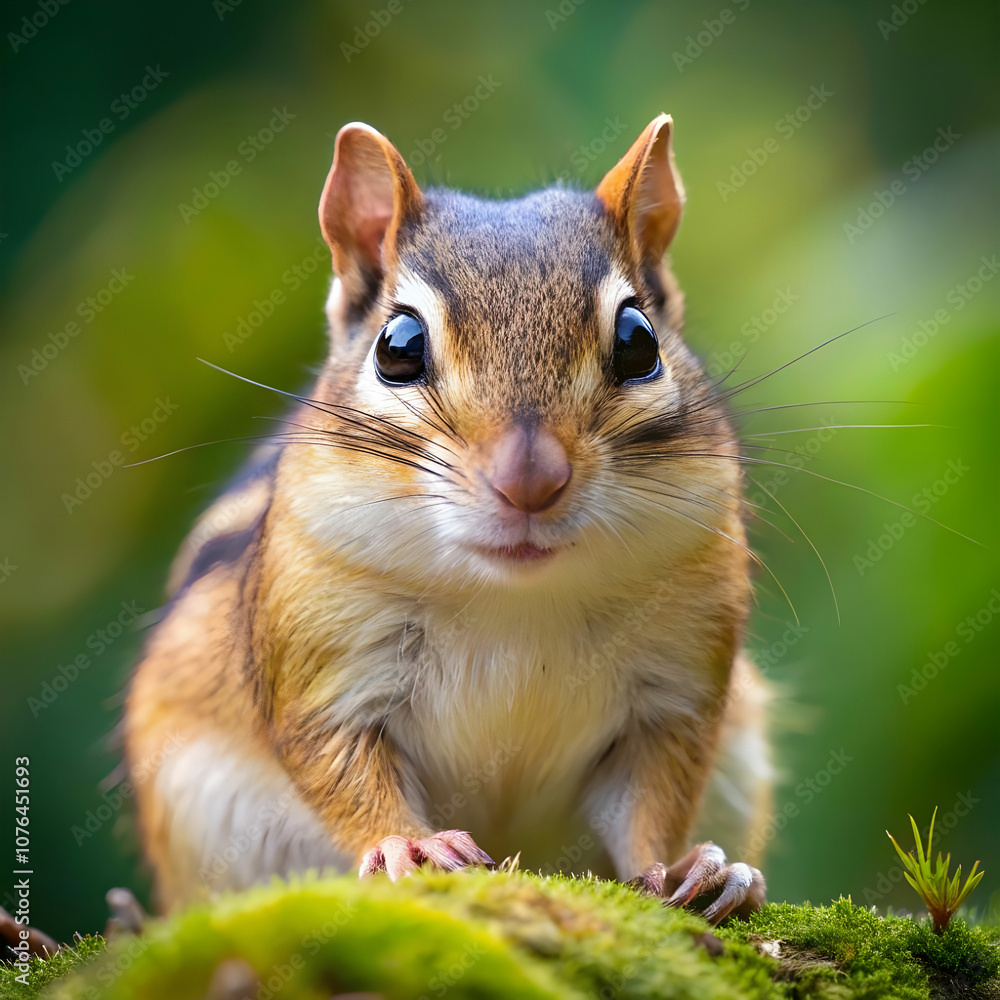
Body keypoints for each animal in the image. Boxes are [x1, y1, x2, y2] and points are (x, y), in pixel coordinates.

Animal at [124, 114, 771, 923]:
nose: (530, 480)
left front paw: (693, 866)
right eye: (398, 348)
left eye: (638, 343)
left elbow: (653, 801)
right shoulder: (323, 671)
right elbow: (339, 767)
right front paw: (409, 844)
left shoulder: (675, 692)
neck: (515, 604)